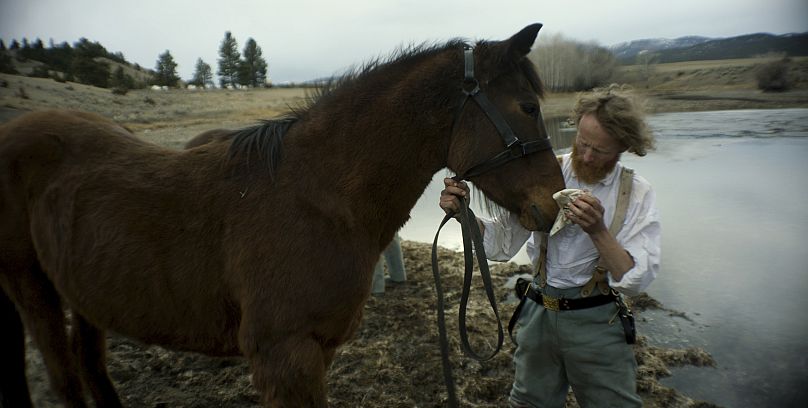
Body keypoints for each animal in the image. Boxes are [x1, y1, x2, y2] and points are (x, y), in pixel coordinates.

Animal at [0, 23, 564, 406]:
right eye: (528, 107)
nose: (553, 203)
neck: (314, 196)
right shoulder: (283, 357)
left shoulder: (317, 351)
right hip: (33, 289)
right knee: (66, 378)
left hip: (83, 291)